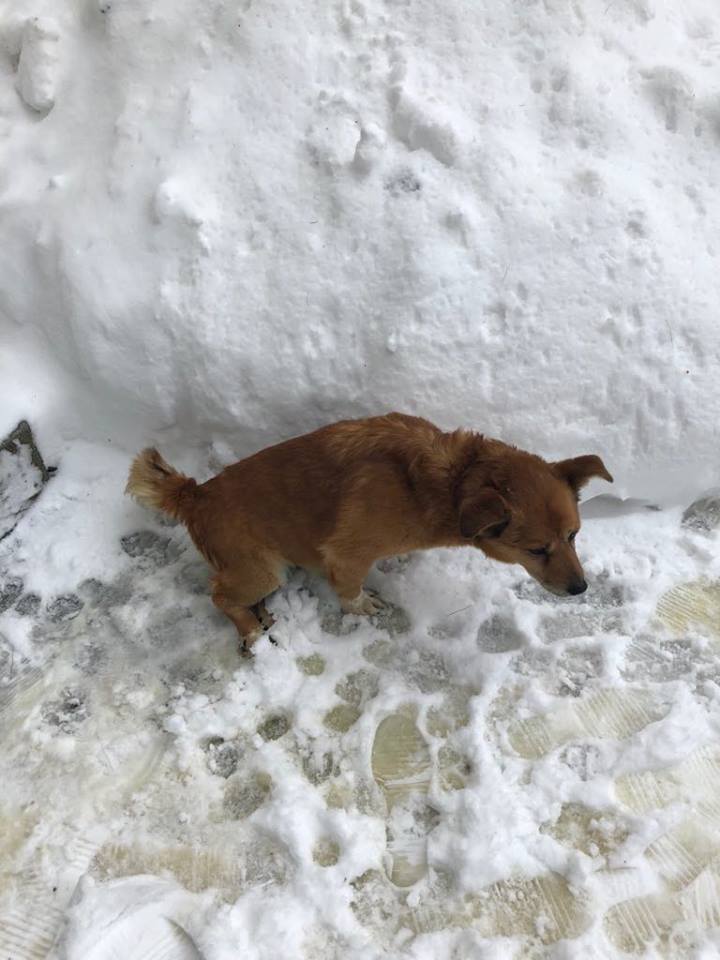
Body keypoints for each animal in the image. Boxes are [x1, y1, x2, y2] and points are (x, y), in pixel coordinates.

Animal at [126, 412, 612, 652]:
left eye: (574, 535)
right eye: (537, 549)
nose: (581, 589)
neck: (453, 481)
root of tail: (194, 494)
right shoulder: (346, 554)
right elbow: (349, 588)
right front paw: (361, 605)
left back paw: (262, 615)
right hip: (261, 570)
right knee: (220, 596)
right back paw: (248, 628)